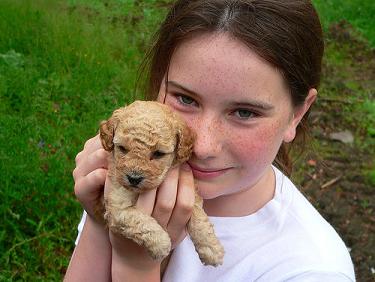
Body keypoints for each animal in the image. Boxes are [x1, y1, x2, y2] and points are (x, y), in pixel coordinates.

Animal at [98, 101, 225, 266]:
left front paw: (211, 249)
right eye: (122, 148)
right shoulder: (116, 207)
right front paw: (161, 244)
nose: (133, 178)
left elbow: (199, 218)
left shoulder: (191, 194)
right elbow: (138, 220)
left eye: (158, 153)